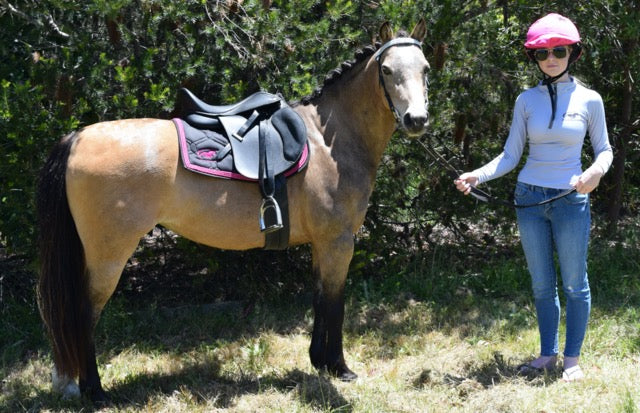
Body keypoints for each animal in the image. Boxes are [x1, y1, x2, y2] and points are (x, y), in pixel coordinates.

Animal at [36, 19, 430, 402]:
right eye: (387, 70)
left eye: (425, 69)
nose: (417, 119)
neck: (326, 142)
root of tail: (77, 139)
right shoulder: (338, 242)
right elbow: (335, 302)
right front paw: (339, 367)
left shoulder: (322, 244)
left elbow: (320, 297)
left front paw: (320, 361)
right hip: (109, 256)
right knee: (84, 314)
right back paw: (95, 391)